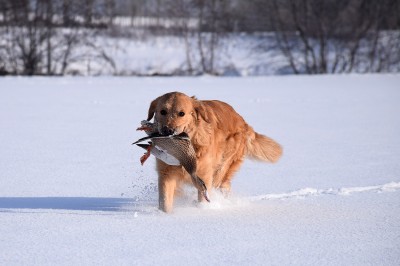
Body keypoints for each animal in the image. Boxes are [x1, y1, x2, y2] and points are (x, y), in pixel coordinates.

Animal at [146, 91, 282, 212]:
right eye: (163, 111)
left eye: (181, 113)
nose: (168, 131)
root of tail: (244, 122)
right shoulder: (166, 174)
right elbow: (165, 202)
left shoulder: (204, 176)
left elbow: (203, 196)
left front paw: (203, 209)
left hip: (222, 168)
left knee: (223, 185)